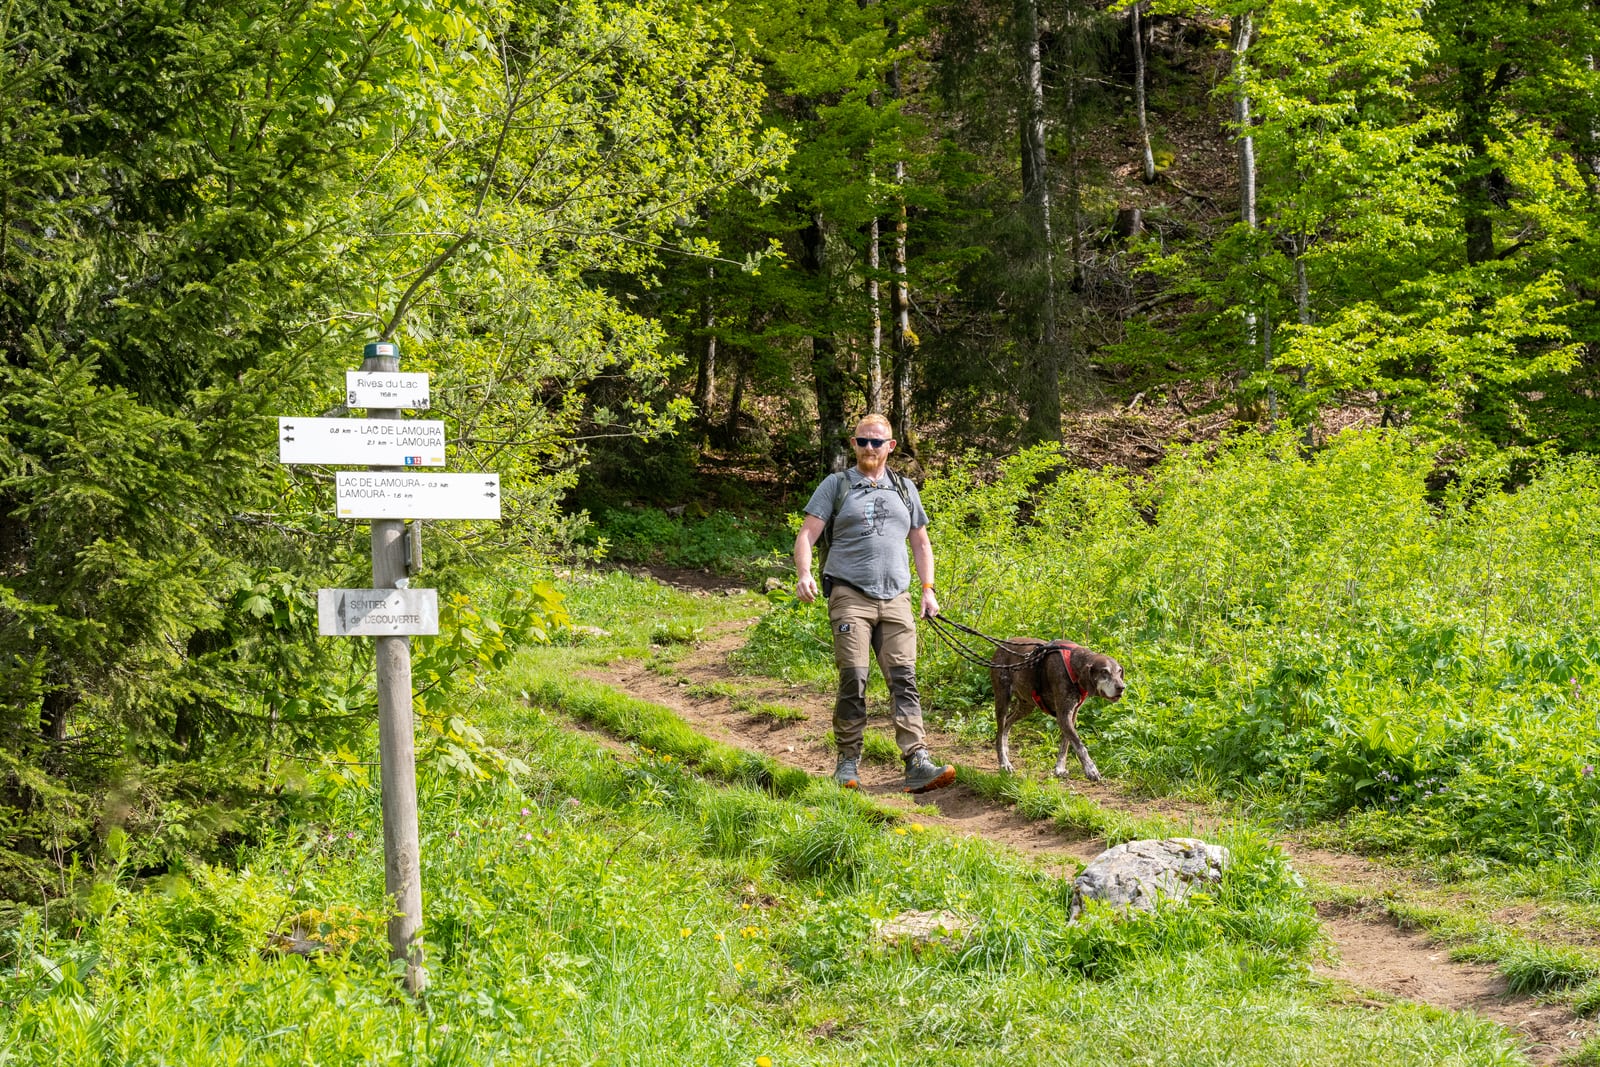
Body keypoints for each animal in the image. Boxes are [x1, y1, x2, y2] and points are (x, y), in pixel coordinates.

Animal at [985, 639, 1126, 780]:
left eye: (1119, 671)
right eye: (1104, 672)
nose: (1122, 687)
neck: (1074, 666)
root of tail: (1002, 646)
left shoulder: (1072, 715)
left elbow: (1065, 744)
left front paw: (1060, 768)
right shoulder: (1063, 716)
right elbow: (1079, 746)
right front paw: (1091, 769)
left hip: (1026, 705)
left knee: (1007, 723)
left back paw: (1005, 749)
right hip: (1002, 699)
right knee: (1000, 731)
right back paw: (1004, 763)